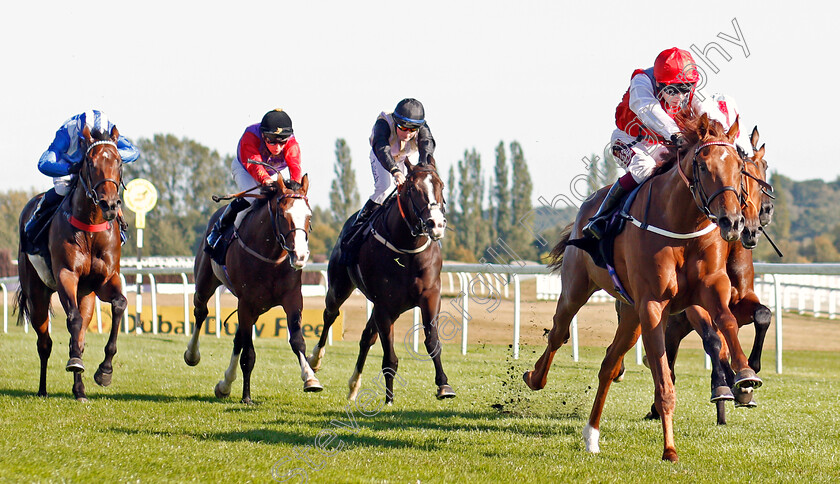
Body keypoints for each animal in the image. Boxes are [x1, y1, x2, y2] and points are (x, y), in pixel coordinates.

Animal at [15, 124, 127, 400]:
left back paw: (79, 390)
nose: (110, 204)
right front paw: (76, 362)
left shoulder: (105, 280)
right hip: (37, 294)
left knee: (80, 336)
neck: (90, 228)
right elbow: (73, 320)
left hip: (86, 295)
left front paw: (105, 371)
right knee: (44, 342)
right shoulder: (67, 274)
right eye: (90, 162)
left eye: (119, 161)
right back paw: (43, 389)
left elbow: (119, 304)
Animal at [184, 176, 316, 402]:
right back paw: (192, 355)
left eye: (309, 216)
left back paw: (225, 384)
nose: (299, 256)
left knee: (238, 337)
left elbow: (297, 340)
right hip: (205, 282)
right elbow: (248, 354)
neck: (270, 257)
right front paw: (246, 397)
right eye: (283, 215)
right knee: (201, 312)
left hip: (257, 308)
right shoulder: (246, 302)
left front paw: (310, 378)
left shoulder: (292, 298)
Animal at [308, 161, 452, 402]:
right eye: (413, 189)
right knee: (330, 315)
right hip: (339, 287)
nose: (436, 224)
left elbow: (433, 342)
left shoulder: (430, 296)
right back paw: (315, 360)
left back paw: (353, 386)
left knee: (367, 337)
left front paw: (444, 385)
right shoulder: (385, 305)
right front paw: (389, 399)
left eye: (441, 185)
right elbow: (389, 357)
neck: (407, 250)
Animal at [524, 113, 756, 462]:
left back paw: (592, 436)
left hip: (631, 315)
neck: (681, 223)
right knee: (558, 332)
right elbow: (663, 382)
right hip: (578, 288)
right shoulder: (652, 305)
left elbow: (726, 321)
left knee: (608, 364)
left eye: (739, 167)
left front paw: (744, 375)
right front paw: (669, 449)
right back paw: (535, 377)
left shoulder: (710, 287)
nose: (733, 222)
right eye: (703, 166)